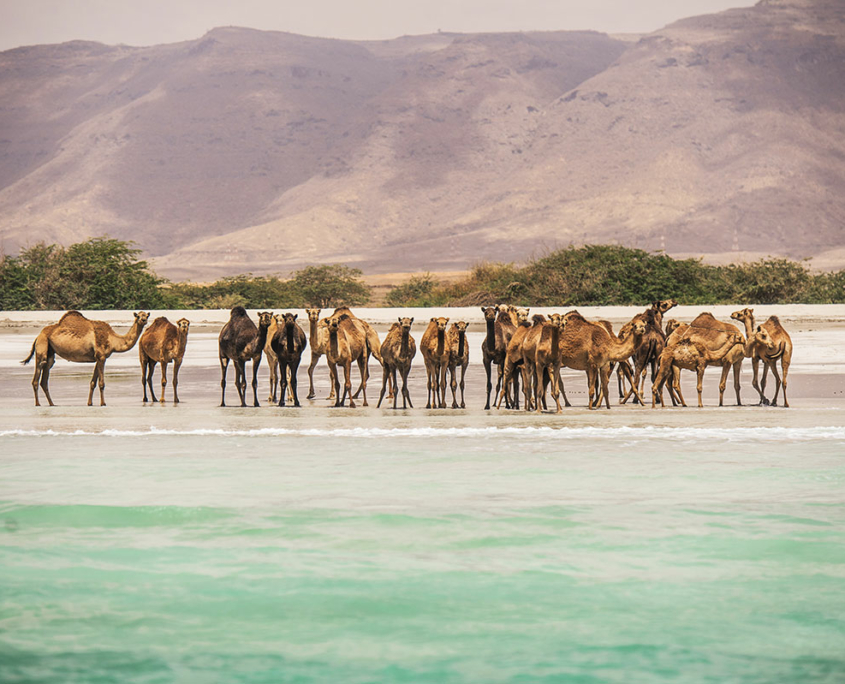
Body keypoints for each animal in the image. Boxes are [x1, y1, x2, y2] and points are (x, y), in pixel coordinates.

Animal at [22, 310, 151, 406]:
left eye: (146, 315)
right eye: (138, 316)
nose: (143, 320)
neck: (113, 340)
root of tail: (38, 336)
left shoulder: (99, 358)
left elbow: (93, 382)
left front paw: (90, 403)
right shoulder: (101, 356)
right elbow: (101, 383)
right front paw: (103, 403)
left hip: (50, 353)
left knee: (44, 379)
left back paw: (52, 404)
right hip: (42, 347)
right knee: (36, 376)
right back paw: (38, 404)